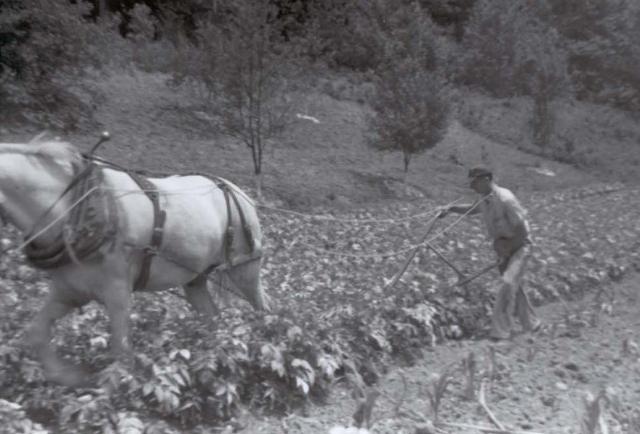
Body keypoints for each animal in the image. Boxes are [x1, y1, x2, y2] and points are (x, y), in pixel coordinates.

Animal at [0, 139, 268, 386]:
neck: (76, 210)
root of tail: (238, 191)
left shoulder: (117, 291)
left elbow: (121, 353)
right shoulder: (69, 291)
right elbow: (36, 333)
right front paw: (69, 376)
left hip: (244, 268)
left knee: (262, 308)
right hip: (196, 278)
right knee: (213, 317)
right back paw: (213, 353)